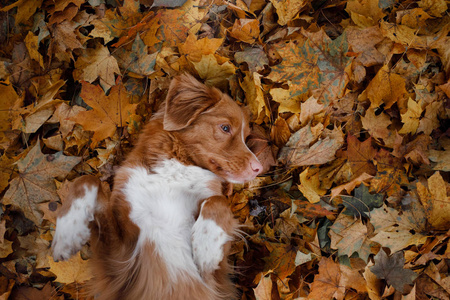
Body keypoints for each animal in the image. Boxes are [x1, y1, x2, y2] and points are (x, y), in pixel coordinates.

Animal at [51, 73, 264, 300]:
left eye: (246, 136)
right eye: (225, 128)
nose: (258, 168)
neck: (175, 171)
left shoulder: (215, 278)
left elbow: (218, 201)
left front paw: (207, 246)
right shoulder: (118, 261)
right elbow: (87, 179)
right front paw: (67, 233)